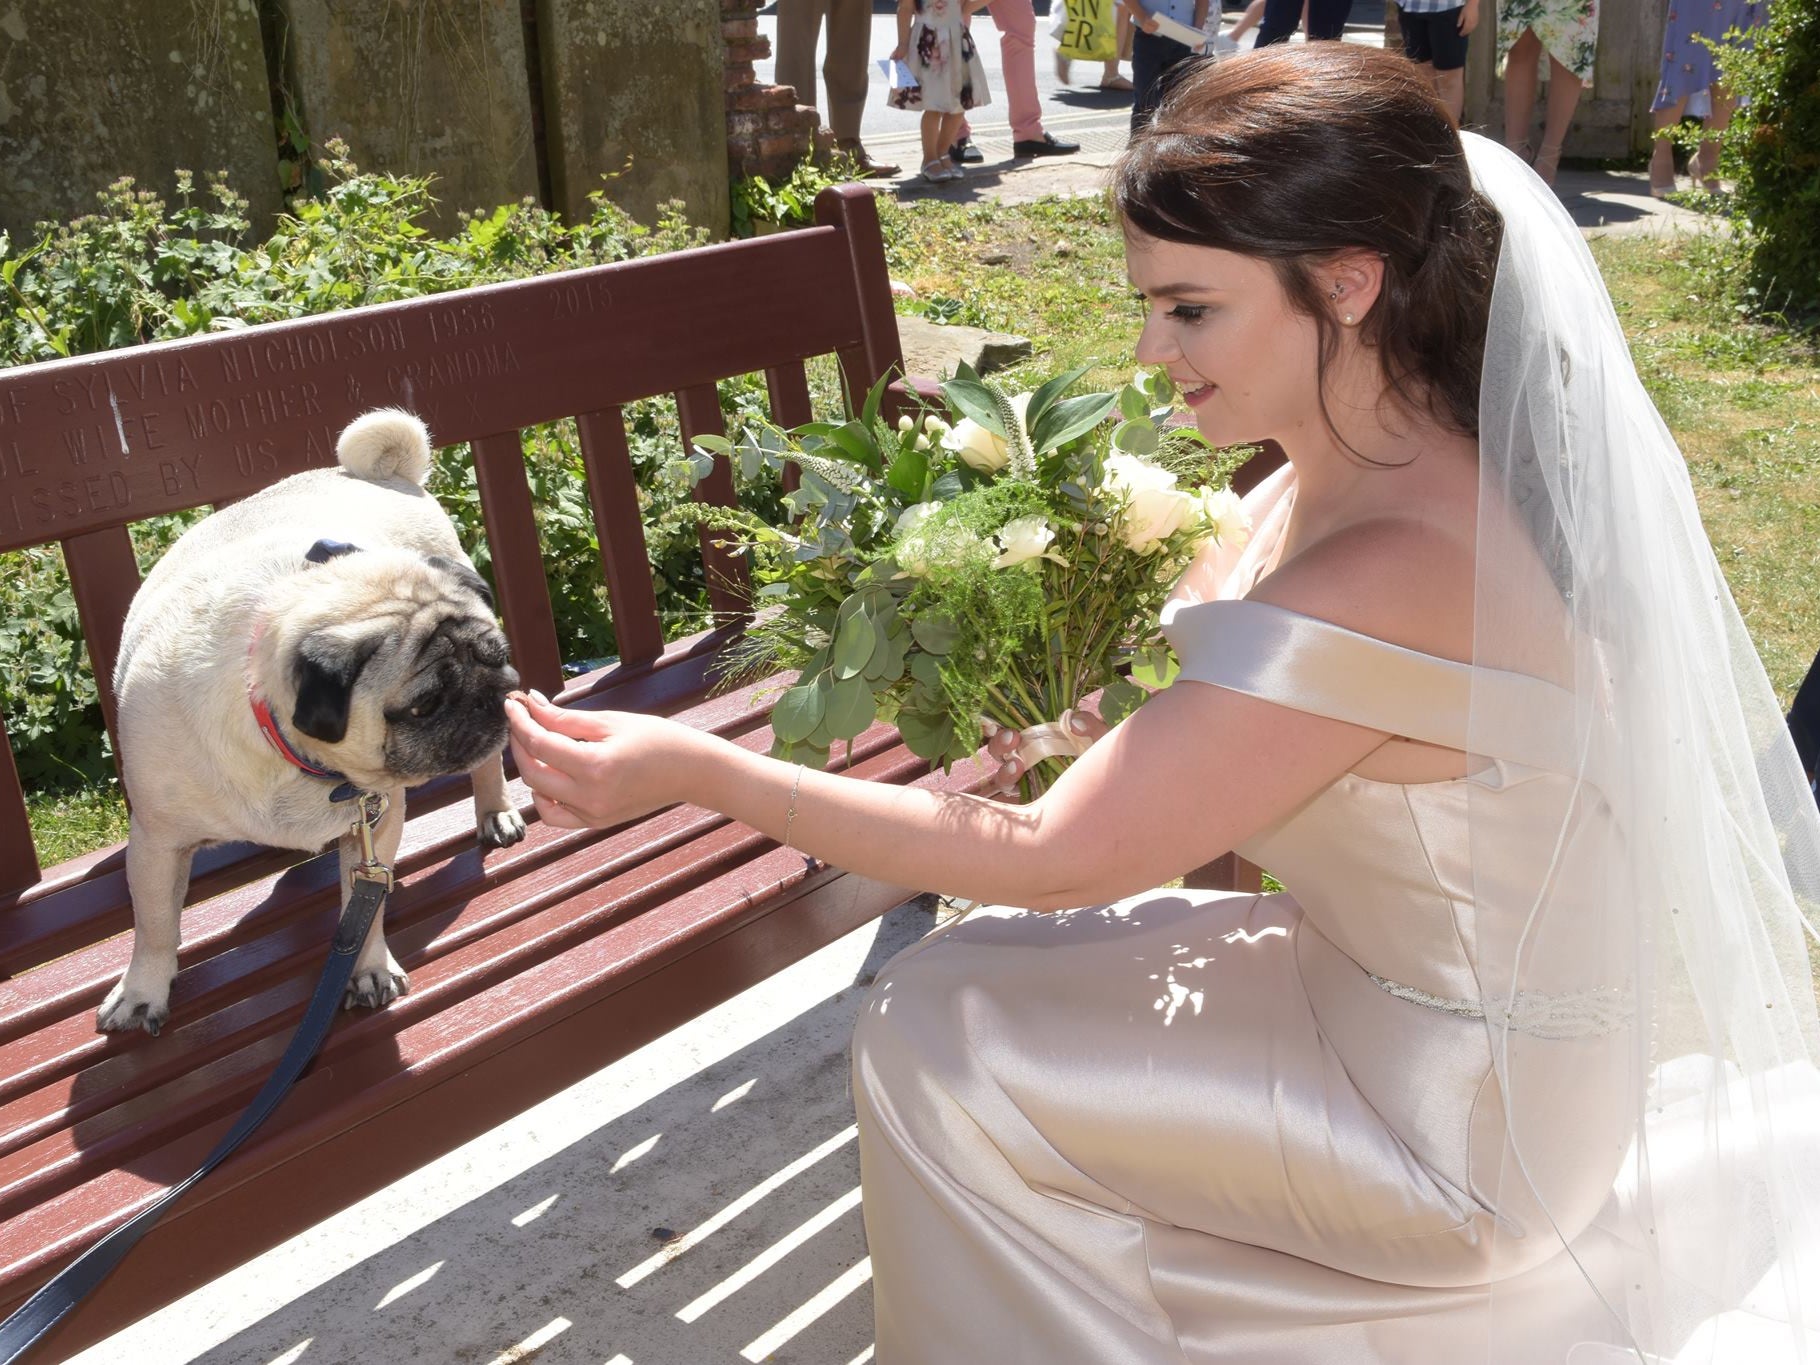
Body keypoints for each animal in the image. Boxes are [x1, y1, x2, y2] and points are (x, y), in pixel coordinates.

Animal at [98, 411, 527, 1041]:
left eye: (496, 658)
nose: (487, 696)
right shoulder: (157, 840)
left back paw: (494, 810)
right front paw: (141, 992)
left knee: (487, 762)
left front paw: (368, 968)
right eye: (423, 706)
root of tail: (381, 473)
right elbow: (154, 925)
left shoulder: (377, 822)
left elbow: (362, 908)